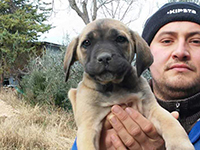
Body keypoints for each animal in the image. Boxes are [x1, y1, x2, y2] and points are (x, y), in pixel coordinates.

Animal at [63, 19, 194, 150]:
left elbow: (171, 123)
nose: (104, 57)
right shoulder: (88, 126)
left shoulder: (151, 107)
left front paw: (180, 145)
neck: (114, 87)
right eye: (86, 43)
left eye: (120, 39)